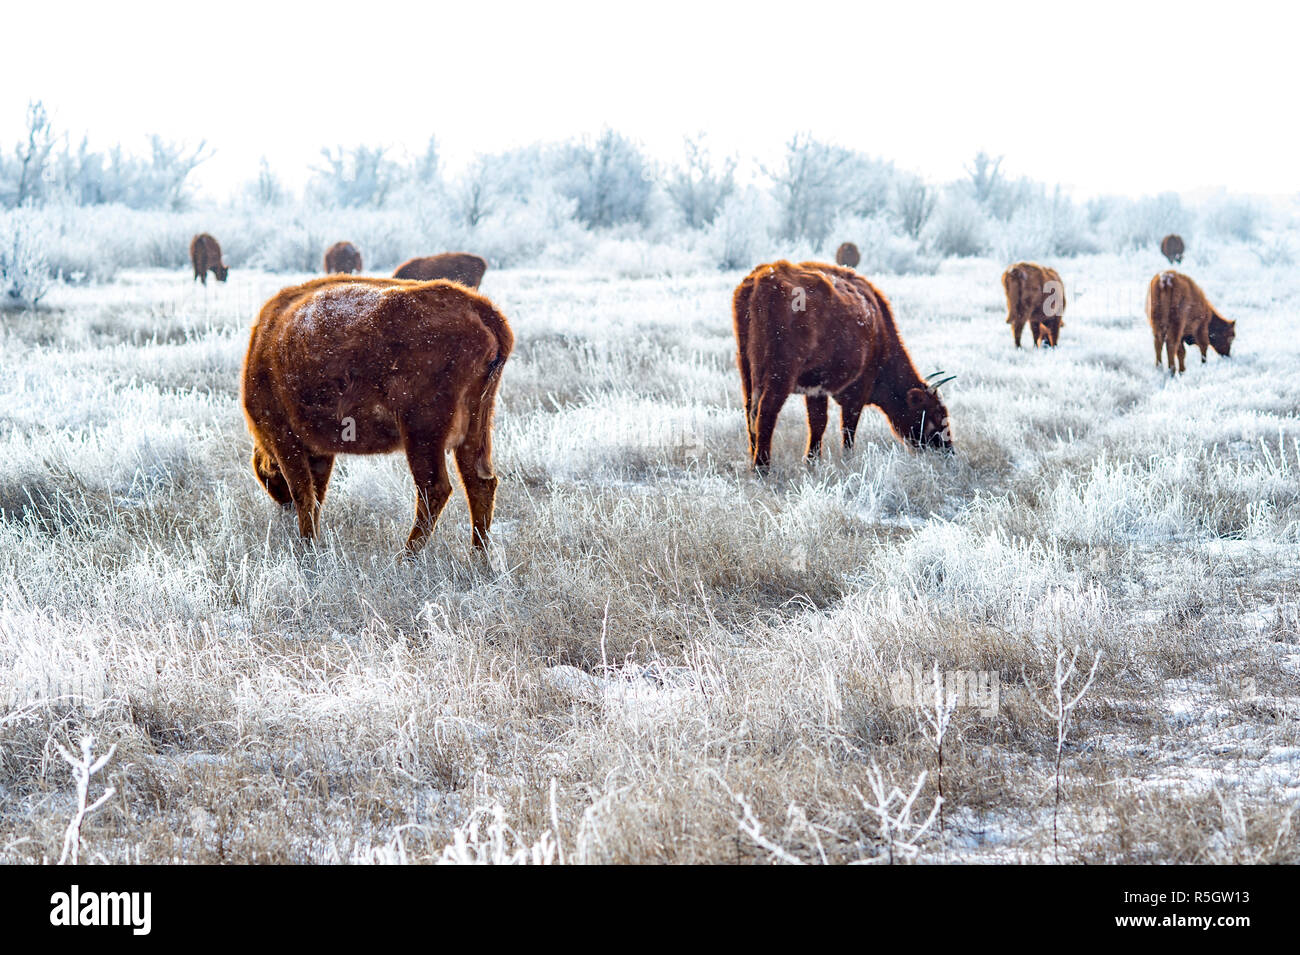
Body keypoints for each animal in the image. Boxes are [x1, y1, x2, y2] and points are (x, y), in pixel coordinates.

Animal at [243, 272, 512, 556]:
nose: (283, 509)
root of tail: (478, 306)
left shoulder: (285, 438)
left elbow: (303, 493)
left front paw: (307, 548)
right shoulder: (319, 452)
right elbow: (317, 495)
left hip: (422, 432)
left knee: (434, 488)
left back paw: (406, 557)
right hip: (475, 427)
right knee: (479, 483)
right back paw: (479, 557)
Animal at [733, 259, 956, 472]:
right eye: (936, 413)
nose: (949, 451)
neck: (879, 329)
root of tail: (764, 277)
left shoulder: (816, 389)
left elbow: (818, 423)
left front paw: (813, 461)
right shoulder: (856, 394)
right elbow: (847, 429)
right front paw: (846, 460)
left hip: (746, 369)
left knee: (750, 411)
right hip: (780, 375)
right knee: (766, 412)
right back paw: (762, 467)